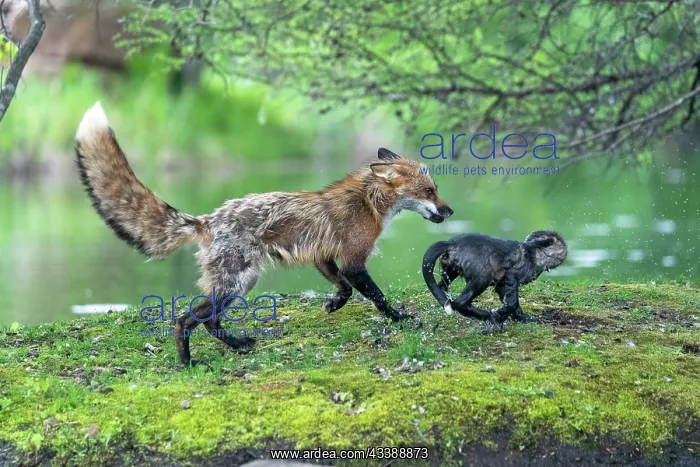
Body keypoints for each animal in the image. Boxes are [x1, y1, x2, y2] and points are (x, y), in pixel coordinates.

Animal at [75, 102, 454, 366]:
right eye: (431, 191)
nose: (451, 212)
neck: (368, 201)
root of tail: (206, 219)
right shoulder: (353, 259)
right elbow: (377, 296)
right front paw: (401, 318)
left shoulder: (324, 257)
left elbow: (343, 288)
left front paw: (332, 304)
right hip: (237, 281)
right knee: (186, 320)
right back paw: (187, 362)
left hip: (238, 283)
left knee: (208, 322)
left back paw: (237, 345)